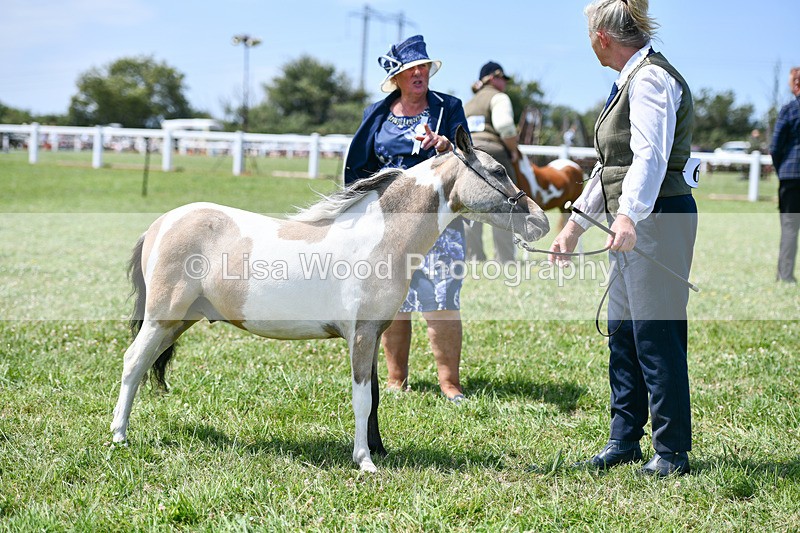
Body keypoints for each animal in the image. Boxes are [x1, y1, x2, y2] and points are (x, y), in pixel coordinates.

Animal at [110, 126, 550, 473]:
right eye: (499, 171)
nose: (540, 221)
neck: (379, 238)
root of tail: (161, 224)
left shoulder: (373, 335)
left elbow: (373, 397)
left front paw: (378, 449)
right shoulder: (361, 335)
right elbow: (360, 398)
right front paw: (365, 462)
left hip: (178, 322)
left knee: (144, 363)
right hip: (162, 318)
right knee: (132, 362)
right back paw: (119, 437)